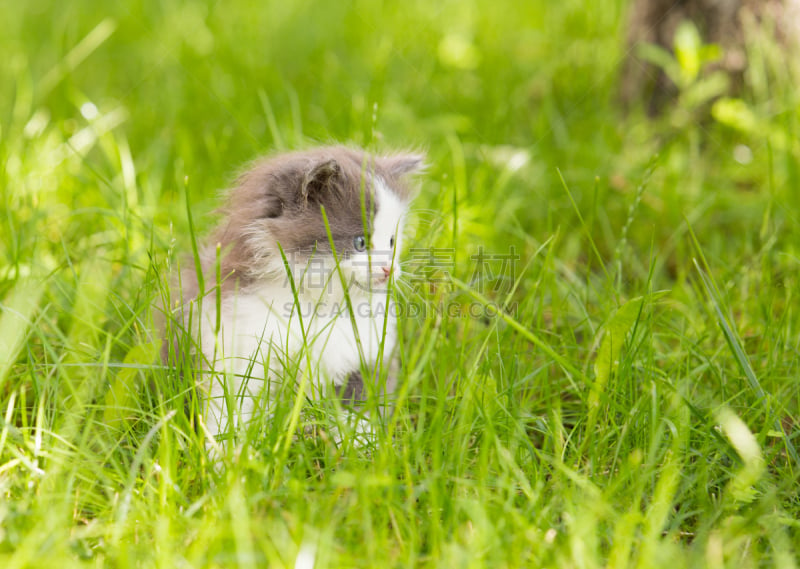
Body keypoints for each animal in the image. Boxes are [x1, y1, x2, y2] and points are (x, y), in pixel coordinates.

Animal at [167, 145, 424, 440]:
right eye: (360, 242)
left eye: (392, 242)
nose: (388, 269)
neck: (317, 303)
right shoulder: (236, 350)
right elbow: (230, 409)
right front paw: (224, 450)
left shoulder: (363, 358)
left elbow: (358, 411)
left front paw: (360, 446)